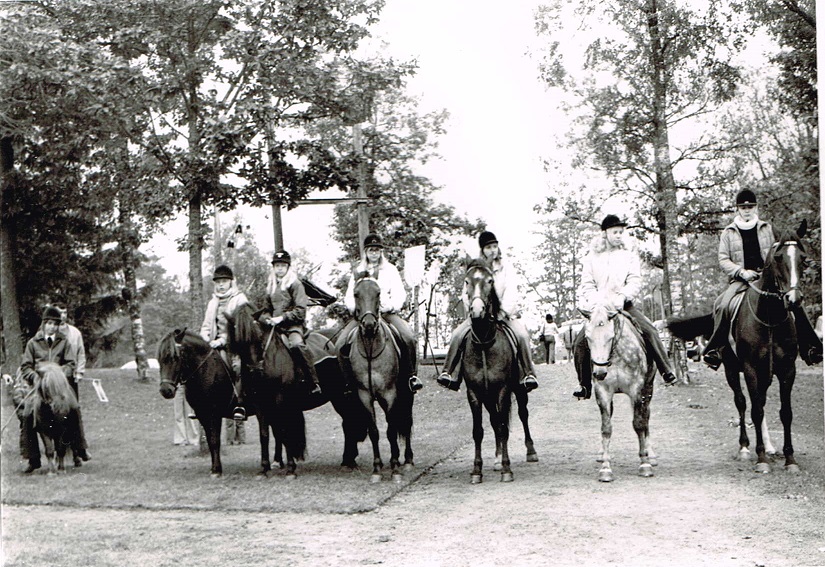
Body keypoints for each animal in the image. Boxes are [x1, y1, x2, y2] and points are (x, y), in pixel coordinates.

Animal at [227, 304, 366, 478]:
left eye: (257, 334)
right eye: (235, 339)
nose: (254, 371)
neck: (270, 359)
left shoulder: (281, 400)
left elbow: (284, 431)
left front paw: (290, 469)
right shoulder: (260, 403)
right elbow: (264, 434)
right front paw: (264, 468)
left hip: (343, 396)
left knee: (349, 423)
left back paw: (349, 461)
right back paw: (348, 460)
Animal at [348, 276, 416, 484]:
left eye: (378, 293)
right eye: (356, 294)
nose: (369, 324)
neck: (371, 347)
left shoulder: (390, 394)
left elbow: (392, 430)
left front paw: (395, 469)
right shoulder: (365, 396)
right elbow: (374, 432)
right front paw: (377, 469)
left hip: (407, 394)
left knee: (407, 422)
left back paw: (407, 460)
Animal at [580, 304, 656, 482]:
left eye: (610, 337)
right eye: (588, 337)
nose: (600, 373)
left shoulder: (636, 389)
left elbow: (639, 424)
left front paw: (645, 464)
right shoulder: (603, 392)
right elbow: (606, 428)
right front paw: (605, 468)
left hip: (647, 391)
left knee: (646, 417)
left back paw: (650, 453)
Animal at [668, 222, 812, 474]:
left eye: (802, 258)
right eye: (778, 257)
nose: (793, 299)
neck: (770, 318)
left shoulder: (787, 370)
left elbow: (785, 413)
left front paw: (790, 459)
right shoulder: (751, 369)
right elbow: (754, 409)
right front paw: (761, 458)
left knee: (760, 403)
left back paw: (768, 446)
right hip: (732, 371)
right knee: (743, 403)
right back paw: (745, 448)